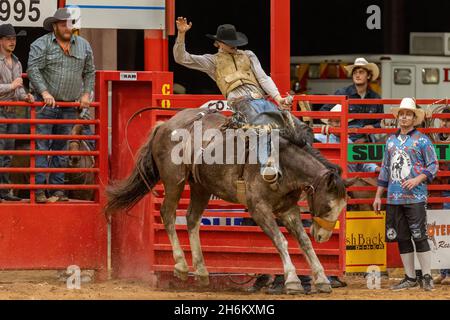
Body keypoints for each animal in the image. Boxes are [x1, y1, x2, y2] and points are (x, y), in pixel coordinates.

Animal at [105, 107, 356, 296]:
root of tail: (165, 125)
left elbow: (304, 242)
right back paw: (181, 266)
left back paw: (202, 271)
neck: (283, 162)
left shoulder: (288, 210)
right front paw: (293, 281)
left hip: (201, 187)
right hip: (174, 180)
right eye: (328, 205)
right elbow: (281, 242)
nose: (323, 236)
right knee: (168, 214)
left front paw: (322, 279)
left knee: (192, 219)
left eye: (343, 207)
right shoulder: (259, 209)